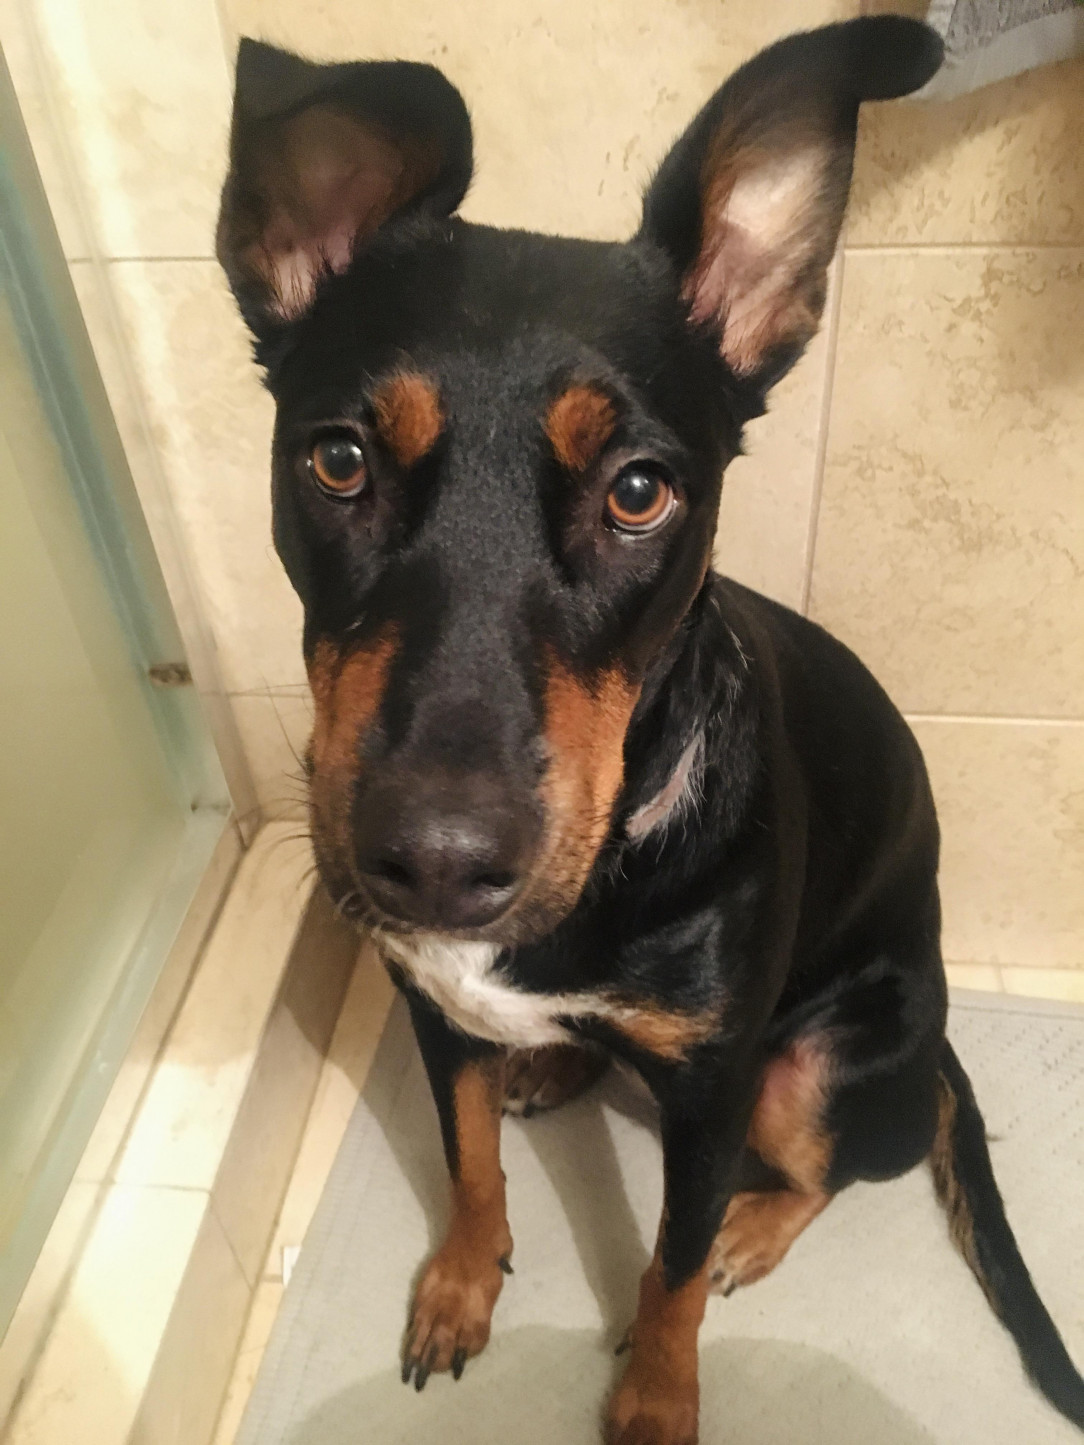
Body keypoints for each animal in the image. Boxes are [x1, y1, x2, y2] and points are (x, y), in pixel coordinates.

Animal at [213, 16, 1084, 1439]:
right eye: (336, 459)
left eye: (639, 491)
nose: (436, 864)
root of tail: (942, 1038)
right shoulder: (431, 1005)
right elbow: (466, 1160)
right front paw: (461, 1285)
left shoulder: (717, 1085)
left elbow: (667, 1262)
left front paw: (656, 1392)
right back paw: (552, 1068)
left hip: (814, 1064)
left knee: (839, 1164)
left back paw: (751, 1227)